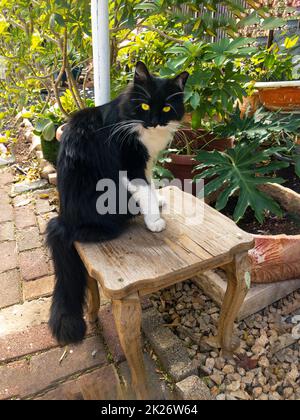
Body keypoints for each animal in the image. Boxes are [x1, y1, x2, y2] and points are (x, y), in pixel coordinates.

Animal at [46, 61, 188, 344]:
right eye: (144, 106)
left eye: (167, 108)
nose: (153, 123)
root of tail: (62, 221)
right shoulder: (131, 164)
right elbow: (145, 190)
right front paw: (155, 221)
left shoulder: (146, 162)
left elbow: (151, 185)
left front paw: (158, 203)